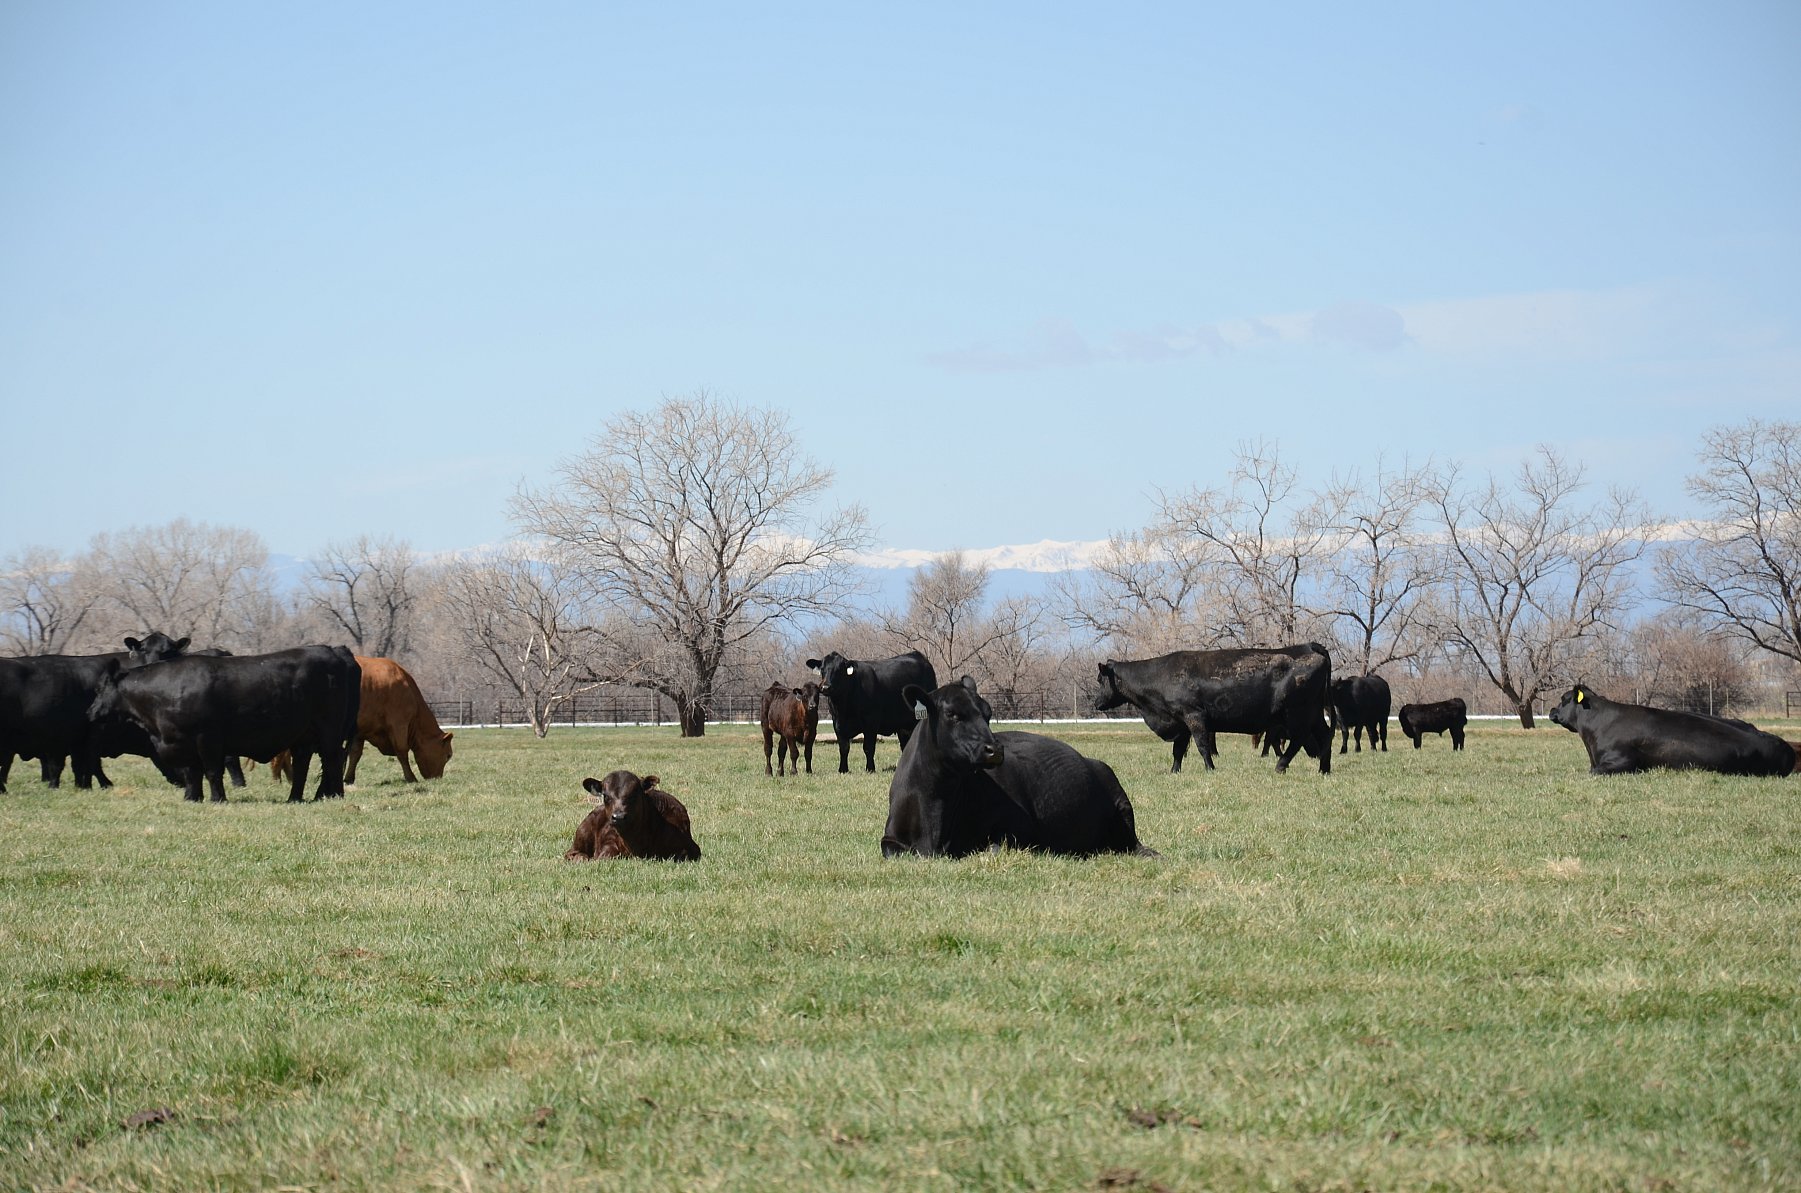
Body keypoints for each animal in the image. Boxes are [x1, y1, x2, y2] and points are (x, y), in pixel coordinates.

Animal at [87, 646, 361, 802]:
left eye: (99, 689)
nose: (90, 713)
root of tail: (335, 650)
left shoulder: (207, 738)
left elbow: (211, 771)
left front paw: (217, 798)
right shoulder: (185, 742)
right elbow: (192, 772)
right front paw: (192, 798)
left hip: (329, 730)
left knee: (332, 759)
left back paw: (334, 795)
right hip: (303, 735)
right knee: (303, 765)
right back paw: (295, 798)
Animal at [805, 650, 938, 773]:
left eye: (839, 670)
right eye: (822, 669)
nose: (825, 687)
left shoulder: (870, 722)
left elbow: (868, 747)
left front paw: (870, 769)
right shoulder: (837, 723)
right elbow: (844, 747)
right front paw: (843, 769)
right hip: (902, 725)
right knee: (905, 744)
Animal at [882, 677, 1153, 858]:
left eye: (988, 713)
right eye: (952, 714)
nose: (995, 749)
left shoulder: (1019, 828)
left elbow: (992, 849)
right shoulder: (890, 837)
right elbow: (891, 851)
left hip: (1120, 800)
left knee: (1132, 844)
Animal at [1093, 644, 1333, 774]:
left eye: (1099, 679)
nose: (1096, 703)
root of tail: (1311, 646)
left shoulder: (1194, 716)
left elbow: (1202, 745)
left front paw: (1210, 768)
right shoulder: (1181, 721)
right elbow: (1178, 750)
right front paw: (1174, 771)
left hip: (1296, 713)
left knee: (1300, 738)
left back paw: (1281, 765)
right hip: (1314, 713)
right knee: (1325, 736)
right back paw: (1324, 769)